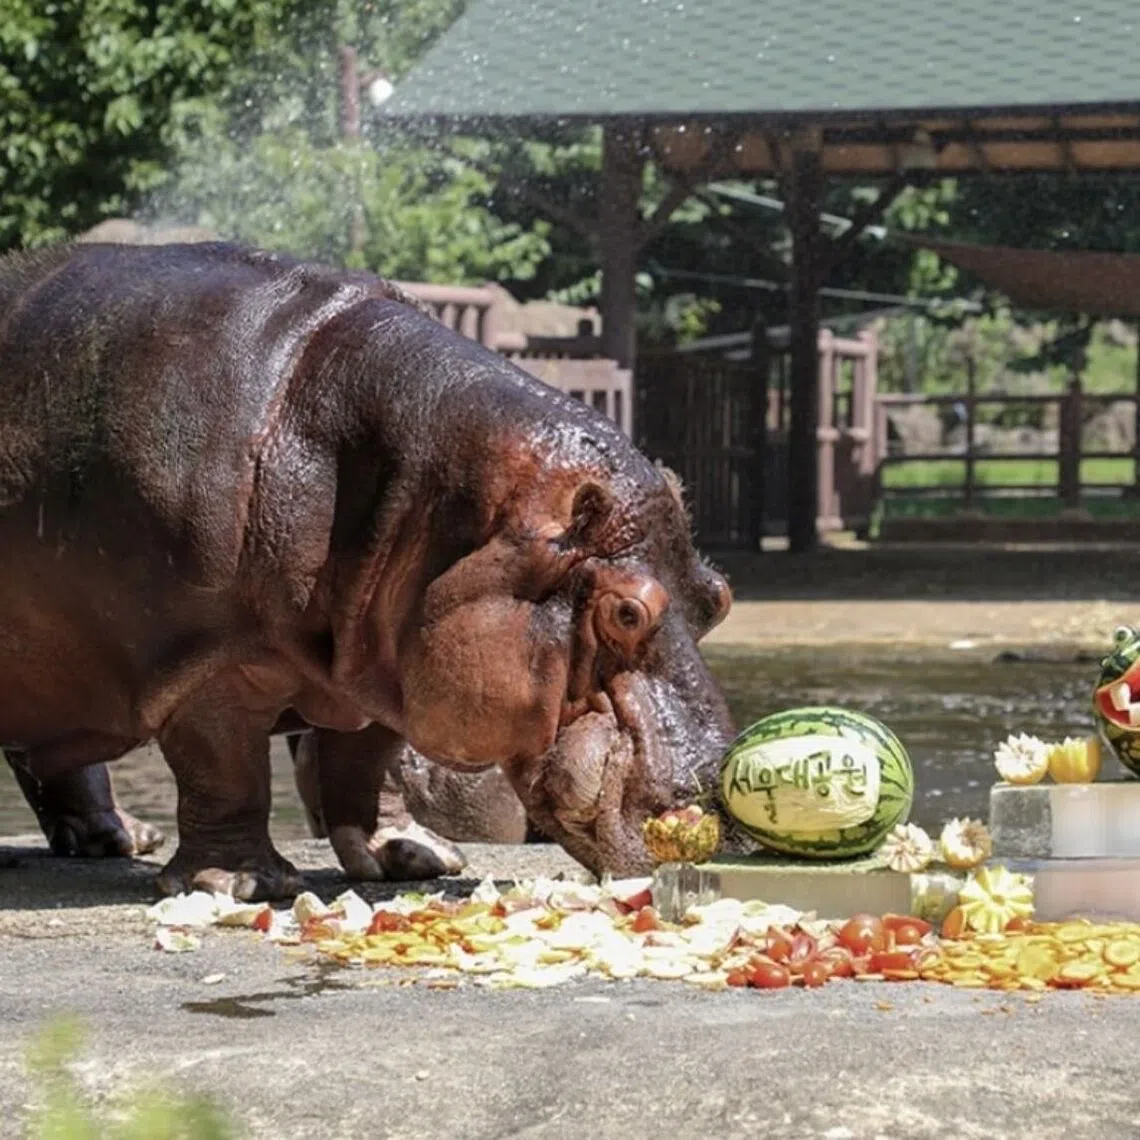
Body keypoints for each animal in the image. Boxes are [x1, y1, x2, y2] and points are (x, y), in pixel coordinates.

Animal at [0, 241, 734, 899]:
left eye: (718, 598)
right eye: (626, 611)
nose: (718, 810)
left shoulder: (384, 652)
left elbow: (368, 758)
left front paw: (412, 856)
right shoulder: (209, 662)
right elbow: (226, 768)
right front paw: (242, 883)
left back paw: (121, 839)